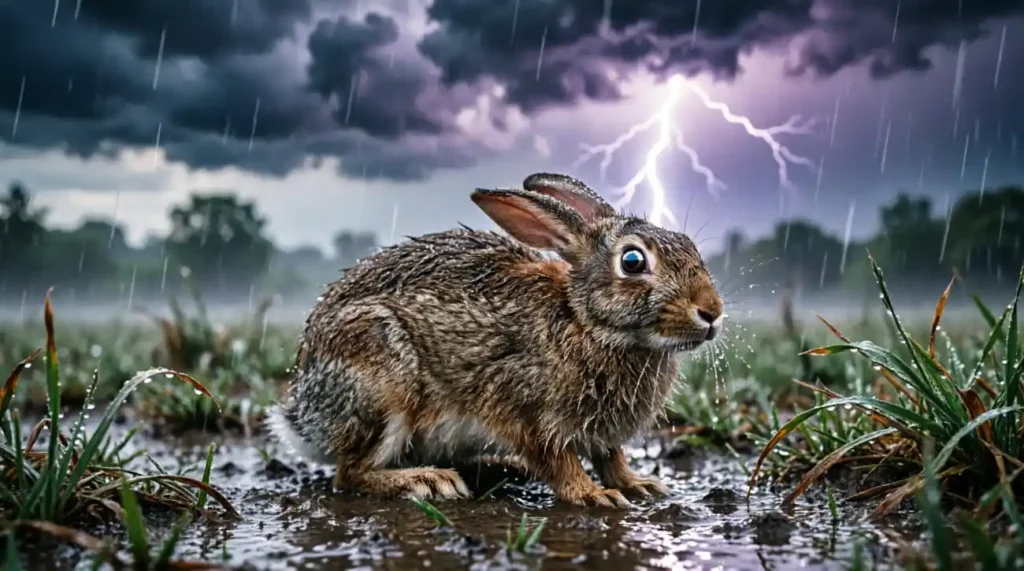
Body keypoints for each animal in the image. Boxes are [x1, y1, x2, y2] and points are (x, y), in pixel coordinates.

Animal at [267, 172, 724, 508]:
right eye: (632, 261)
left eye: (688, 245)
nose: (712, 311)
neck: (585, 320)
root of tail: (306, 415)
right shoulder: (523, 410)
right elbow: (558, 462)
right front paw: (595, 495)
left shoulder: (601, 433)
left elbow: (611, 457)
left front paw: (638, 484)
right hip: (383, 378)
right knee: (349, 474)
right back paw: (427, 481)